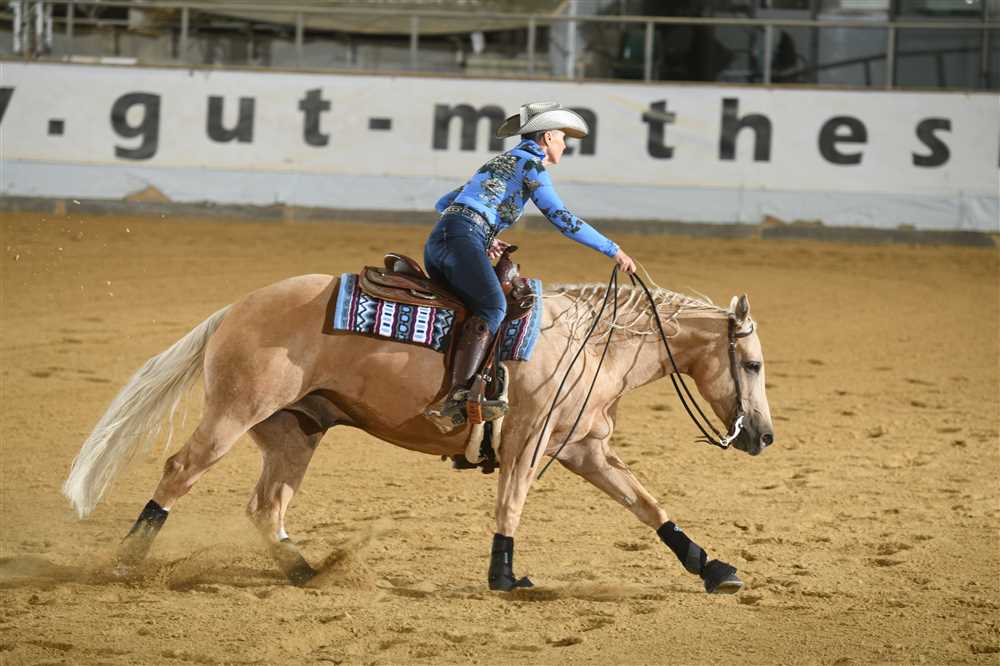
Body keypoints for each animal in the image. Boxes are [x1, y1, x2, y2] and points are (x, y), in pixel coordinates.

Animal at [62, 272, 774, 594]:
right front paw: (504, 576)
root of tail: (236, 309)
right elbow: (511, 503)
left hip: (295, 432)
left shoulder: (584, 448)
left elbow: (648, 505)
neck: (589, 342)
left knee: (266, 508)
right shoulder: (526, 442)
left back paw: (308, 568)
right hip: (232, 417)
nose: (764, 438)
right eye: (754, 364)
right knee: (179, 472)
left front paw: (714, 568)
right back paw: (126, 561)